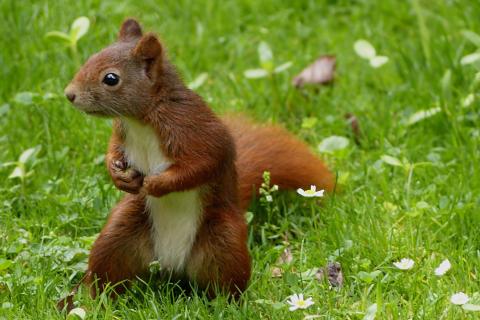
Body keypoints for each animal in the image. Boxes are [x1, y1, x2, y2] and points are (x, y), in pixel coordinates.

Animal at [60, 18, 334, 308]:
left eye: (111, 79)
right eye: (90, 58)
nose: (69, 94)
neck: (142, 120)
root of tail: (171, 265)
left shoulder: (193, 129)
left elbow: (202, 164)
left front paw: (157, 184)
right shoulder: (122, 132)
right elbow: (113, 151)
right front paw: (117, 174)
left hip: (224, 244)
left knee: (226, 284)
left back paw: (226, 306)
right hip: (119, 237)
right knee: (109, 272)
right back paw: (95, 301)